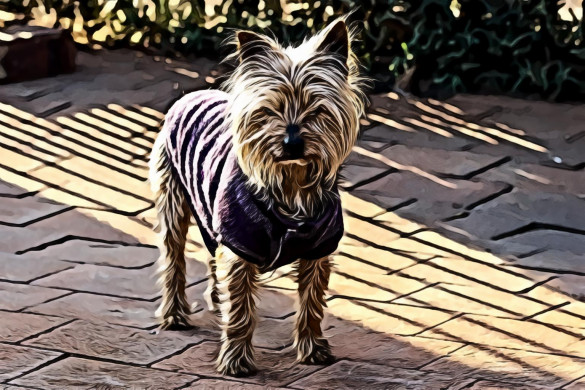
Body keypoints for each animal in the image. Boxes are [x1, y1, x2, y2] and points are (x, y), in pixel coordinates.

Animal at [147, 19, 364, 378]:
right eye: (270, 110)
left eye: (316, 109)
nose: (292, 143)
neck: (291, 184)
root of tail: (193, 93)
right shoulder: (240, 243)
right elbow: (240, 310)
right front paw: (236, 360)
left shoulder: (319, 248)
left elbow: (312, 301)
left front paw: (312, 349)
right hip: (173, 192)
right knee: (174, 256)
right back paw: (175, 314)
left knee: (210, 250)